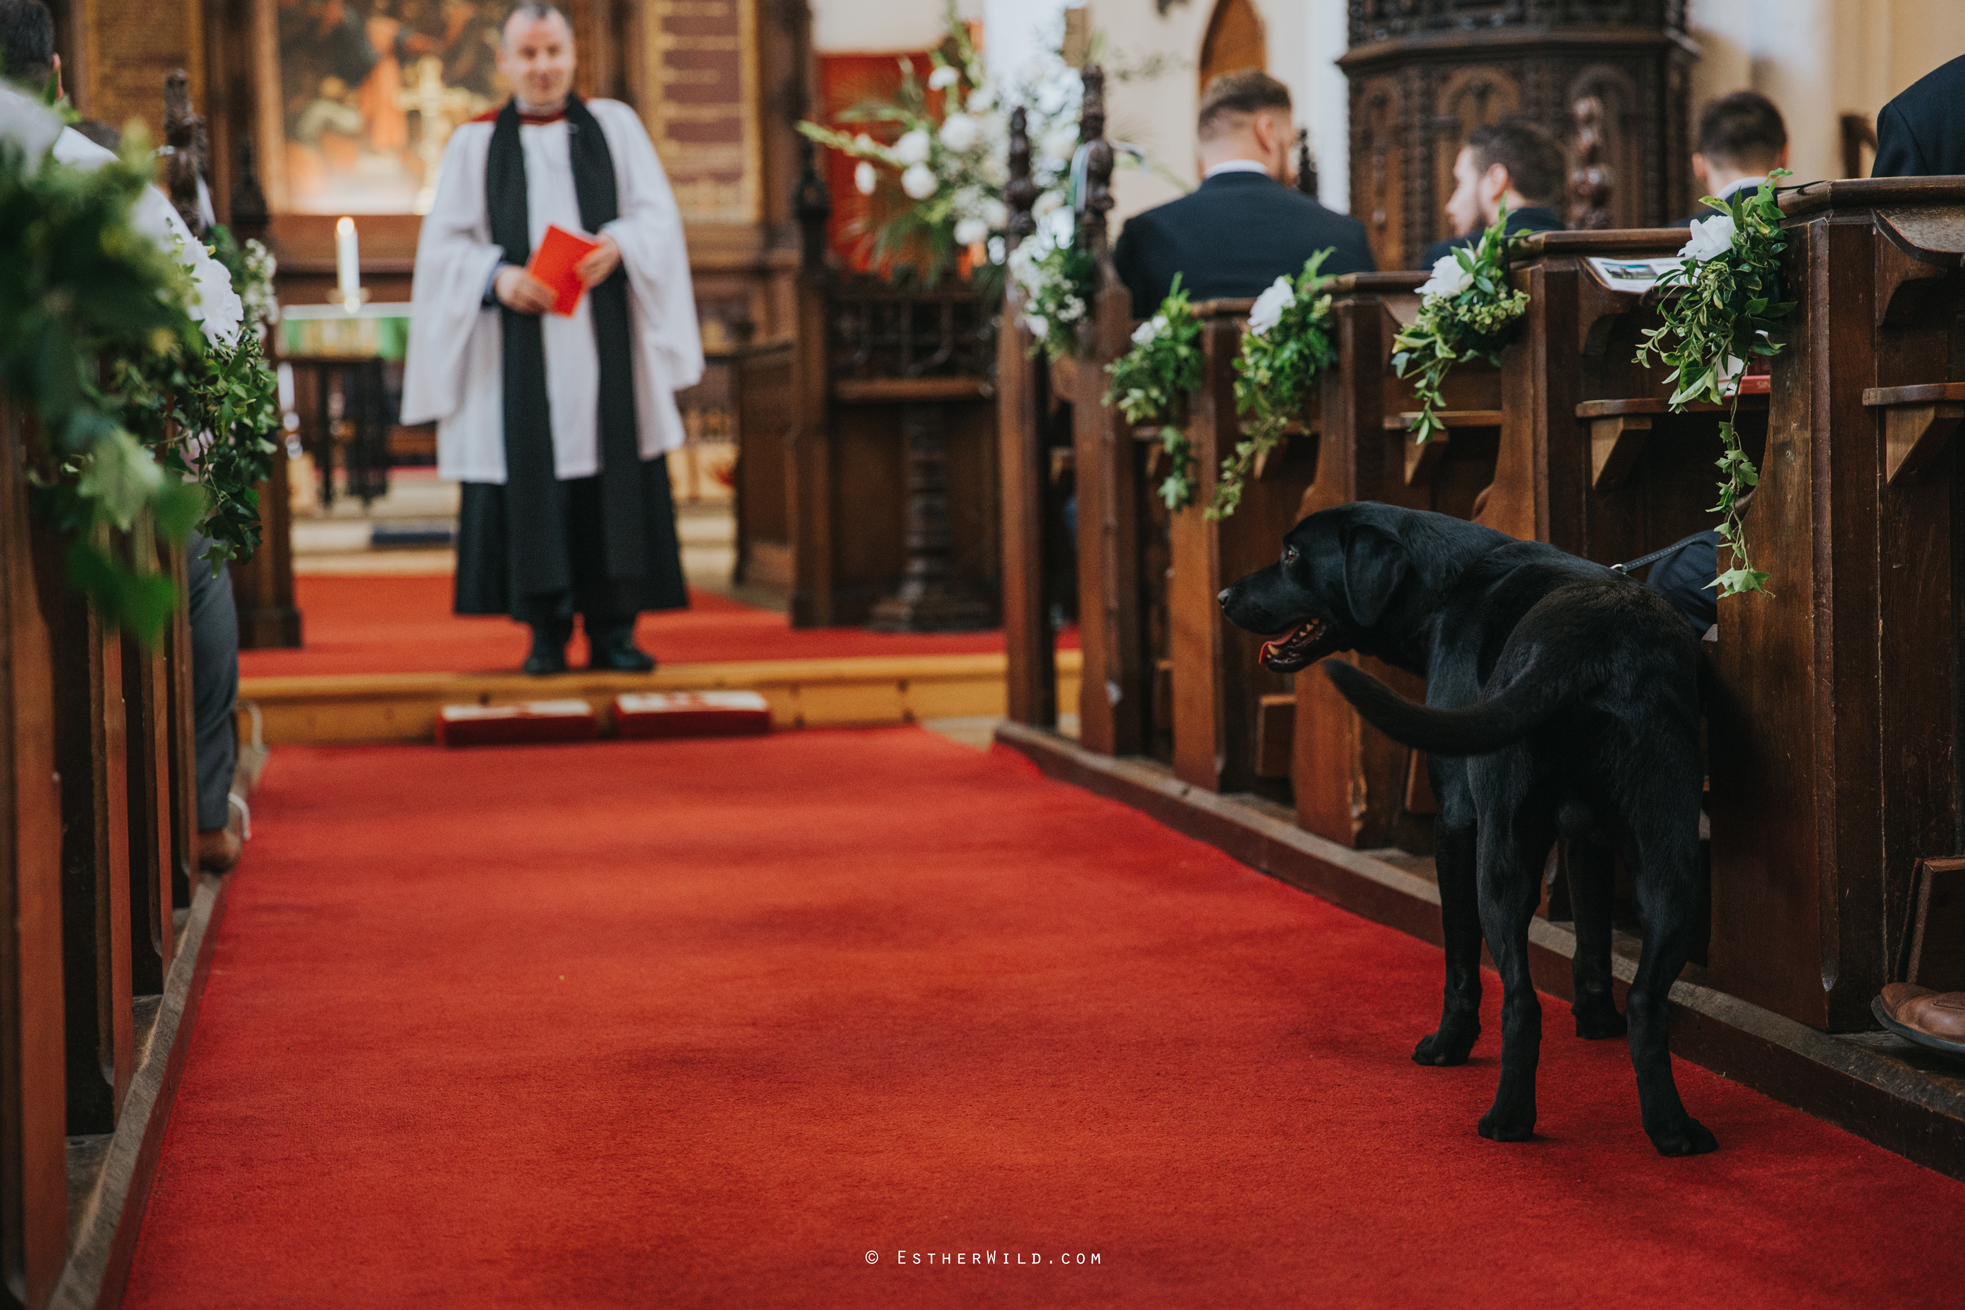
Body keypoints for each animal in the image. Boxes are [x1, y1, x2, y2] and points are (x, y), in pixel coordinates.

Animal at [1218, 502, 1713, 1154]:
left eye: (1293, 554)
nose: (1222, 595)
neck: (1449, 586)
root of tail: (1591, 643)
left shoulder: (1456, 818)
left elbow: (1459, 954)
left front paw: (1447, 1045)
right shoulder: (1584, 835)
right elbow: (1592, 937)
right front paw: (1596, 1022)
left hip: (1500, 856)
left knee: (1520, 1002)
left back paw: (1508, 1120)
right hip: (1672, 864)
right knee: (1647, 1001)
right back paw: (1671, 1129)